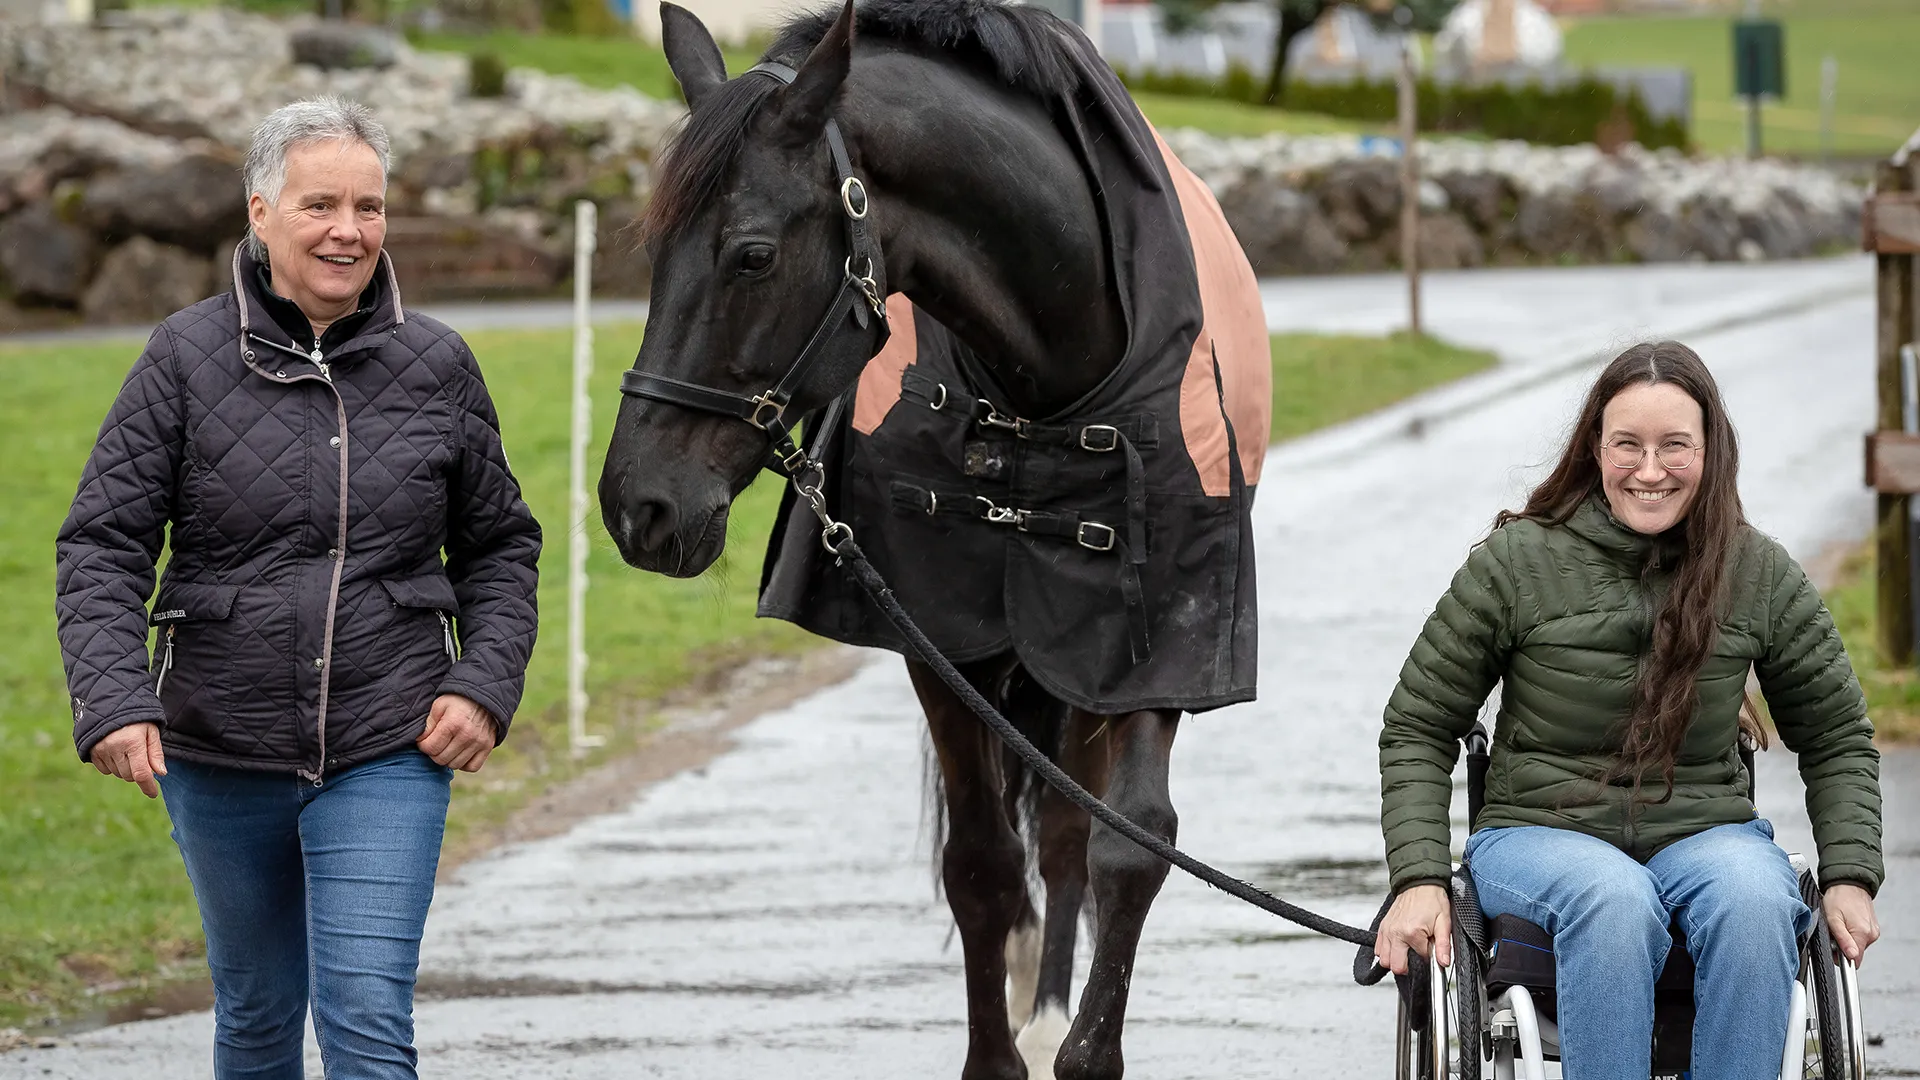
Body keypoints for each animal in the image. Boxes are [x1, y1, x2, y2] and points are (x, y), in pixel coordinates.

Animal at [591, 4, 1267, 1068]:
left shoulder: (1158, 648)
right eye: (653, 255)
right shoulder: (940, 643)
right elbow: (982, 864)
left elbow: (1128, 846)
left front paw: (1077, 1045)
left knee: (1070, 829)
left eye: (752, 255)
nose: (638, 504)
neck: (1049, 372)